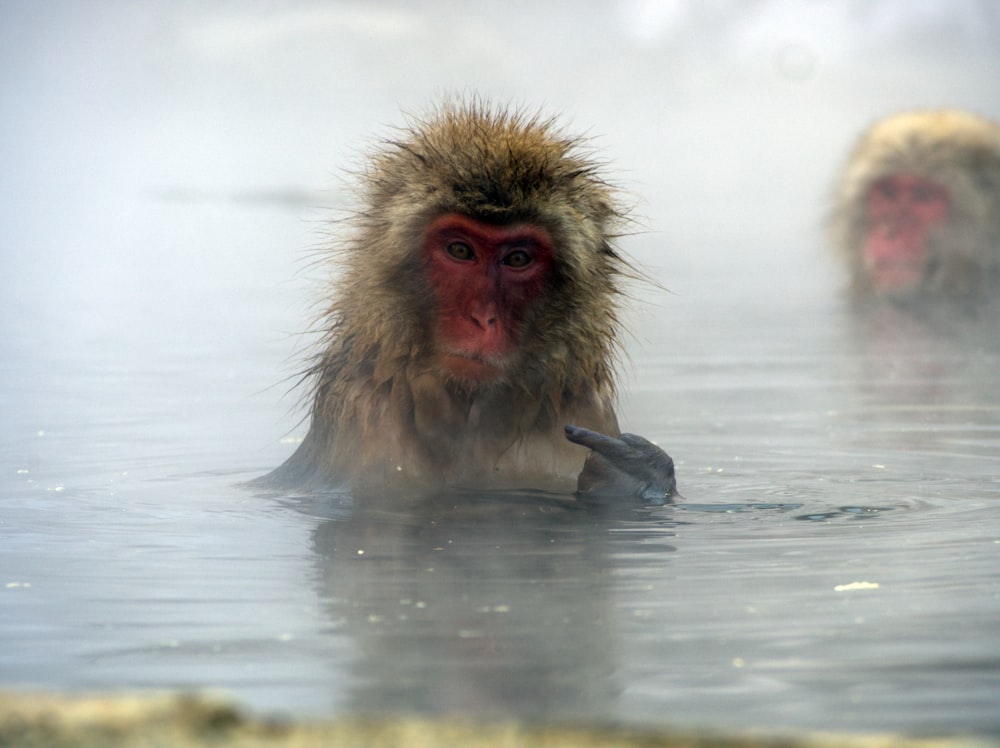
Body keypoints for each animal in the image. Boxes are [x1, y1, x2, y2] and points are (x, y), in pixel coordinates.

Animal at [262, 99, 676, 506]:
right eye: (460, 250)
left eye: (518, 259)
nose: (482, 318)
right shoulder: (366, 418)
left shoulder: (588, 411)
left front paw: (633, 473)